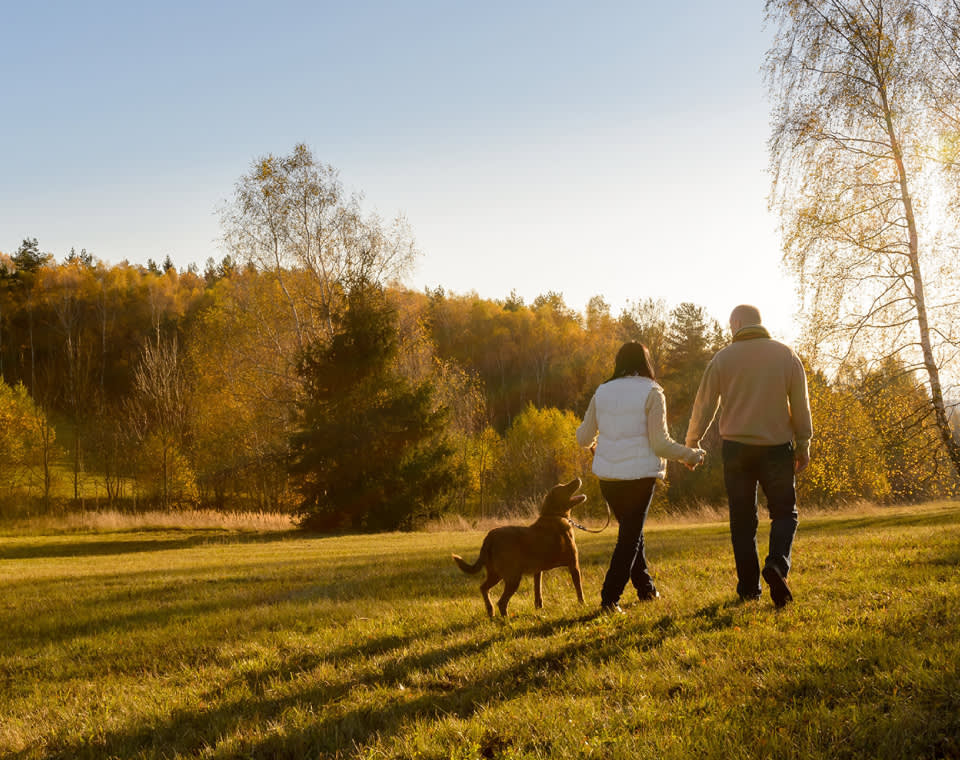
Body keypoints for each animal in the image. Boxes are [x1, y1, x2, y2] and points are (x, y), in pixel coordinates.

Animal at [456, 480, 588, 616]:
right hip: (513, 578)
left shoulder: (538, 570)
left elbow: (538, 591)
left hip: (496, 574)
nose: (577, 479)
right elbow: (579, 589)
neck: (555, 516)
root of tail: (490, 536)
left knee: (483, 588)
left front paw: (539, 608)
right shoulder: (573, 564)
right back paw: (505, 618)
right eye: (564, 488)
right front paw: (582, 605)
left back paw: (490, 611)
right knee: (501, 602)